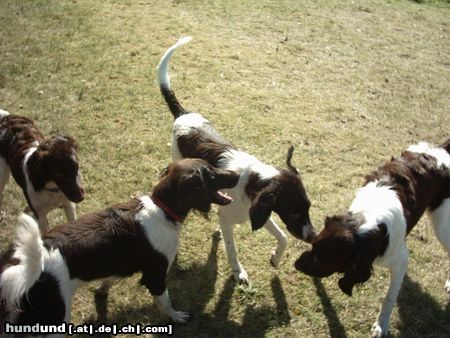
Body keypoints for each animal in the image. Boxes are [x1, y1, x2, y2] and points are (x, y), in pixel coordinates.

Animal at [0, 159, 241, 336]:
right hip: (56, 319)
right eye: (211, 174)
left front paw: (102, 291)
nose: (237, 174)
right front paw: (175, 317)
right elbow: (165, 301)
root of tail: (23, 270)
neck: (162, 209)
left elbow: (110, 278)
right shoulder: (155, 274)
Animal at [158, 37, 316, 284]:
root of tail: (184, 114)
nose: (314, 237)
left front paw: (275, 258)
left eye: (308, 208)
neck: (252, 180)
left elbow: (283, 237)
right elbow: (232, 248)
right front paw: (238, 272)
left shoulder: (259, 209)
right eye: (293, 212)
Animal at [296, 139, 450, 336]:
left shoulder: (400, 259)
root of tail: (440, 151)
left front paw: (381, 325)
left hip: (442, 226)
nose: (296, 264)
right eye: (313, 246)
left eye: (322, 258)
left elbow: (389, 297)